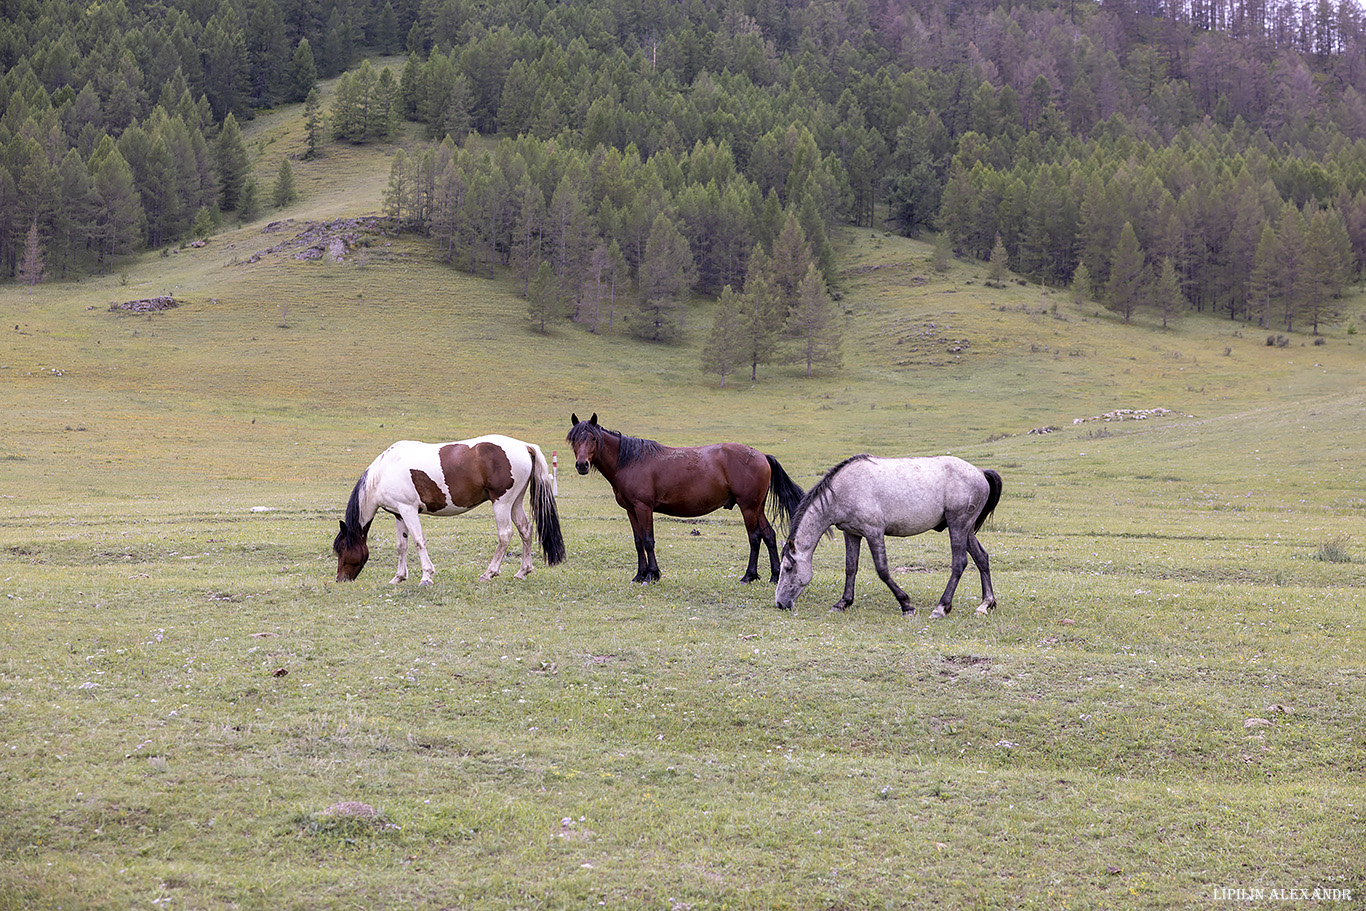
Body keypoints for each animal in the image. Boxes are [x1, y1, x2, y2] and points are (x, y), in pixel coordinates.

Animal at [331, 434, 565, 584]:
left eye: (341, 549)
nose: (340, 579)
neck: (384, 472)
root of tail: (524, 446)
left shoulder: (409, 510)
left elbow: (418, 541)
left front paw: (426, 576)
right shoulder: (399, 514)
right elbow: (401, 546)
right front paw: (398, 577)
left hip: (502, 503)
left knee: (505, 535)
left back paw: (489, 573)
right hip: (515, 503)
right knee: (525, 530)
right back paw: (522, 571)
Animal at [562, 412, 797, 584]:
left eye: (593, 438)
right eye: (574, 440)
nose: (582, 465)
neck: (630, 461)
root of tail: (762, 456)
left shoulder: (643, 507)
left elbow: (648, 540)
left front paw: (652, 575)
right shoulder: (631, 510)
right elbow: (638, 542)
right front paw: (640, 574)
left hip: (748, 507)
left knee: (755, 537)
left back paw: (749, 576)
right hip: (757, 507)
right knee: (769, 535)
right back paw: (774, 576)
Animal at [781, 453, 1005, 620]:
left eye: (788, 568)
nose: (780, 603)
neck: (844, 489)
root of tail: (979, 472)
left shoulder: (874, 532)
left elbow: (882, 570)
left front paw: (906, 604)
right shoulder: (851, 533)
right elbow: (850, 568)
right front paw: (843, 603)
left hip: (958, 525)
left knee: (959, 563)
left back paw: (941, 607)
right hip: (966, 530)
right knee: (982, 558)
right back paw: (985, 604)